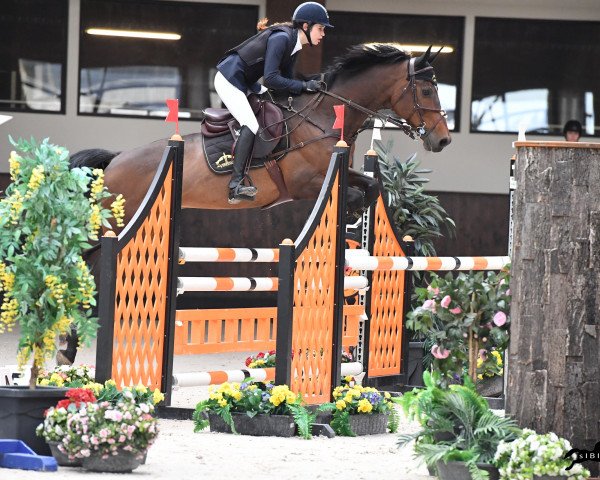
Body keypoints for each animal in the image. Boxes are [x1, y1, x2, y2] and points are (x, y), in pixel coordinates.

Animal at [61, 44, 452, 364]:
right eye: (427, 90)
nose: (442, 140)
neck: (323, 116)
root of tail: (114, 161)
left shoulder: (340, 174)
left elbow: (370, 187)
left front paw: (356, 220)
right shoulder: (305, 185)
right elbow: (356, 194)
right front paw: (351, 211)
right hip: (113, 223)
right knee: (83, 261)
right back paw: (65, 338)